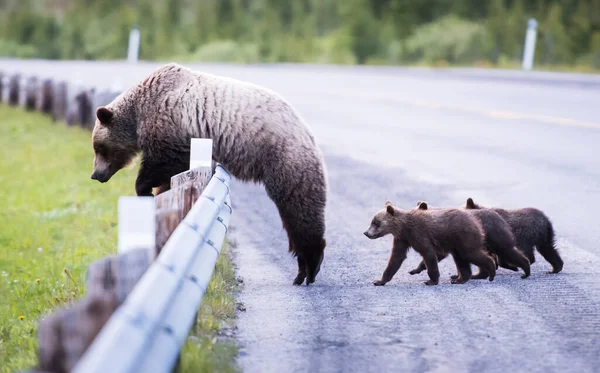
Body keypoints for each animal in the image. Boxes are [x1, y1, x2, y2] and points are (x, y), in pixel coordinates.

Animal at [89, 63, 328, 284]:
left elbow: (164, 162)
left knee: (299, 208)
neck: (138, 114)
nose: (96, 174)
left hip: (284, 158)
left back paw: (310, 267)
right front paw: (160, 191)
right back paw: (301, 271)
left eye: (98, 147)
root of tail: (308, 132)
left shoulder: (170, 125)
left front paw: (145, 189)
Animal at [360, 201, 496, 284]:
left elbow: (428, 253)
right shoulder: (402, 239)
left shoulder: (418, 234)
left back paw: (491, 272)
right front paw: (379, 281)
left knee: (470, 253)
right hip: (457, 243)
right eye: (372, 221)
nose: (366, 233)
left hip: (464, 236)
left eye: (376, 223)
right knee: (461, 259)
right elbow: (396, 257)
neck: (403, 227)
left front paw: (431, 280)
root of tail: (475, 220)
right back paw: (460, 279)